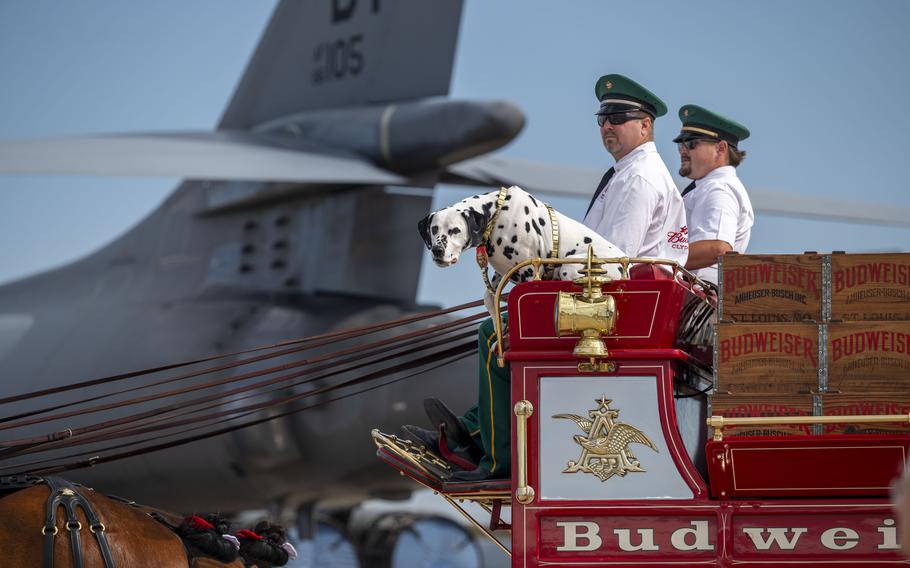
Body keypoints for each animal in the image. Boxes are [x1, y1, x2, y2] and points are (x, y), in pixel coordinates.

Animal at [420, 187, 628, 318]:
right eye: (434, 229)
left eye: (455, 230)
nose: (437, 250)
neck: (498, 213)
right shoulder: (500, 274)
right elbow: (490, 301)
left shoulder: (530, 273)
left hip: (571, 266)